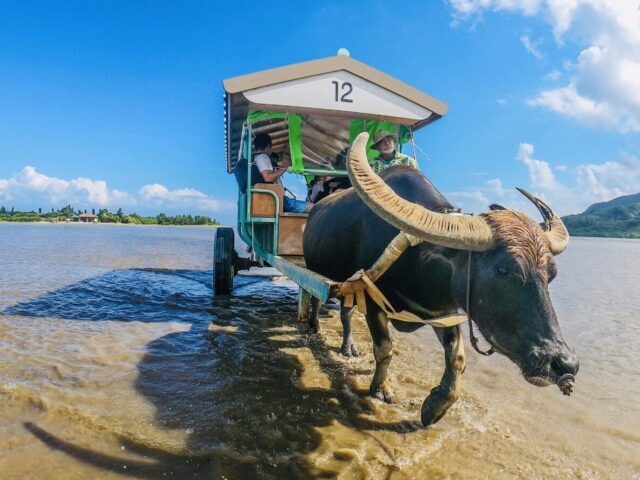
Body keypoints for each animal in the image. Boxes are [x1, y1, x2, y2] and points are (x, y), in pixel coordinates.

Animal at [302, 133, 576, 426]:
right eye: (503, 269)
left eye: (552, 274)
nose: (564, 364)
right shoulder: (374, 303)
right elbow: (384, 349)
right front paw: (381, 388)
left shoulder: (444, 311)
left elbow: (457, 358)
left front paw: (435, 406)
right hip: (317, 272)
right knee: (315, 299)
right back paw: (314, 326)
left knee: (346, 313)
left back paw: (348, 347)